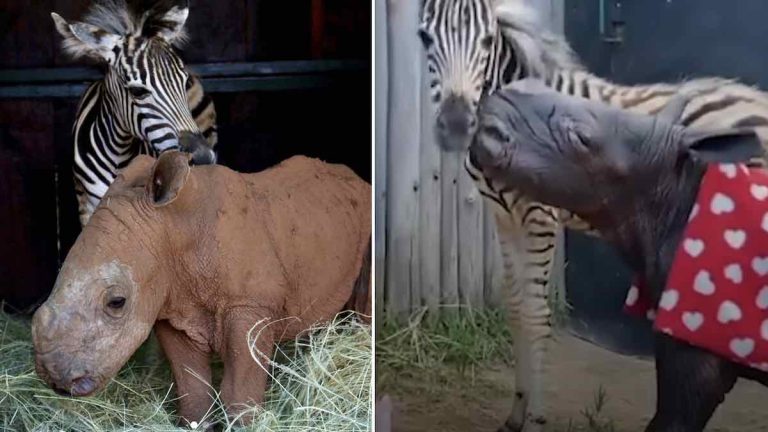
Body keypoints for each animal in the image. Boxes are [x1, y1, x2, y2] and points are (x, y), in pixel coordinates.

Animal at [31, 151, 371, 427]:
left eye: (116, 302)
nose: (53, 378)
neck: (174, 229)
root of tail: (360, 180)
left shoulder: (249, 304)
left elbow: (239, 387)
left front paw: (244, 423)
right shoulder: (172, 306)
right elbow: (190, 383)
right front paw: (198, 423)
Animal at [471, 79, 768, 432]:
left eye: (582, 138)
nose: (490, 109)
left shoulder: (697, 356)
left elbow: (535, 316)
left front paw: (532, 418)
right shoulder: (506, 221)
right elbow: (518, 309)